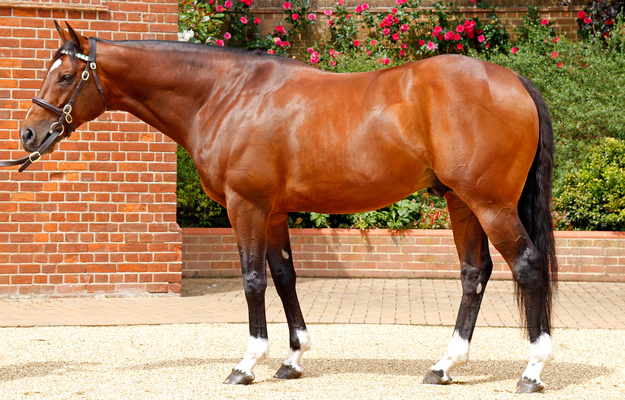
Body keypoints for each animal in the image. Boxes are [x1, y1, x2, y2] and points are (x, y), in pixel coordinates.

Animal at [11, 22, 556, 394]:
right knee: (474, 272)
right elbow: (284, 276)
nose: (29, 135)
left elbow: (253, 279)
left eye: (65, 75)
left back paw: (532, 371)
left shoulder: (246, 206)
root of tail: (514, 80)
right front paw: (292, 360)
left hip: (488, 203)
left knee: (527, 266)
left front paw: (247, 364)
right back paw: (443, 367)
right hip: (461, 202)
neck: (226, 95)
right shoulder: (272, 212)